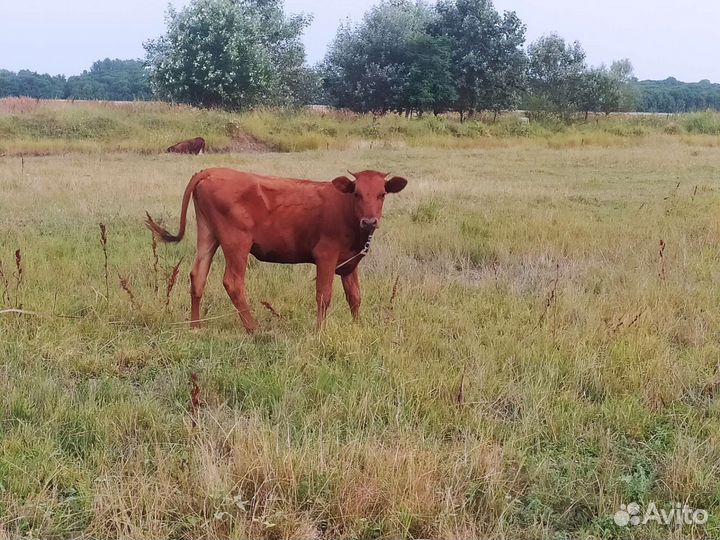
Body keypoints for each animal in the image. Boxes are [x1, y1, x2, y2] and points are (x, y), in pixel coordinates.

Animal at [145, 168, 407, 332]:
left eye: (381, 194)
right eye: (357, 193)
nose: (369, 221)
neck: (346, 211)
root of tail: (212, 170)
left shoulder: (349, 263)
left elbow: (355, 297)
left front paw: (357, 326)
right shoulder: (326, 255)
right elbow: (324, 295)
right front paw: (319, 332)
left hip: (208, 235)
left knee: (198, 276)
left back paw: (195, 327)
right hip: (236, 242)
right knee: (233, 283)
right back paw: (254, 329)